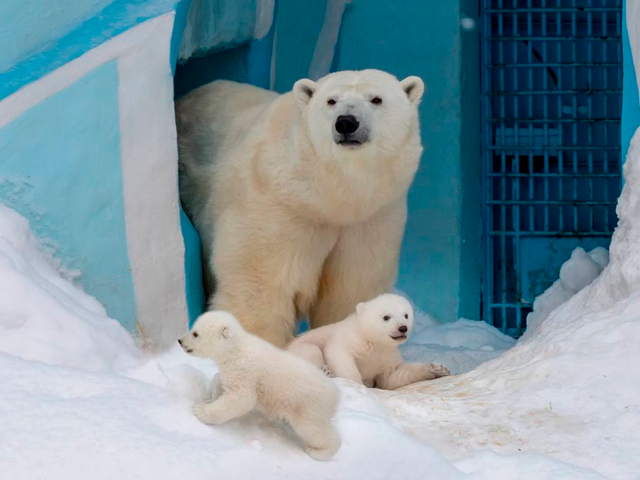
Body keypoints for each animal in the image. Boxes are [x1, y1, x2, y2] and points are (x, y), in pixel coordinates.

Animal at [175, 69, 424, 346]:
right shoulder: (277, 206)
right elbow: (260, 283)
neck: (326, 200)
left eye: (376, 99)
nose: (346, 122)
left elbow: (350, 289)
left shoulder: (371, 219)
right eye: (331, 100)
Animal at [178, 310, 342, 460]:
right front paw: (214, 393)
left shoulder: (245, 370)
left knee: (314, 429)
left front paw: (200, 409)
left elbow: (242, 398)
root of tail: (335, 394)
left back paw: (318, 452)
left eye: (195, 334)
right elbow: (224, 382)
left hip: (308, 407)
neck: (236, 349)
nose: (180, 340)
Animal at [284, 292, 450, 390]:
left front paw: (437, 369)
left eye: (406, 315)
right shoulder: (349, 338)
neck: (372, 340)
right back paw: (326, 371)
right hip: (301, 346)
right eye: (386, 317)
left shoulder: (386, 356)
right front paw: (359, 386)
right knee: (310, 350)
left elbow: (393, 376)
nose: (403, 328)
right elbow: (340, 355)